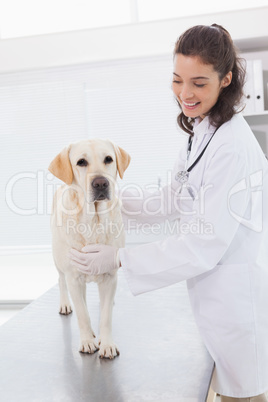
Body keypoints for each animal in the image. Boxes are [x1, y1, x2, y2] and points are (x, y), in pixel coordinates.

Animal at [49, 140, 132, 360]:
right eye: (81, 162)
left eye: (108, 159)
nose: (101, 183)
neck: (94, 220)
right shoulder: (73, 276)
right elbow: (83, 315)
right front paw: (87, 341)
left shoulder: (110, 277)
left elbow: (105, 317)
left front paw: (107, 343)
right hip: (59, 263)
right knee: (62, 283)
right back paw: (65, 304)